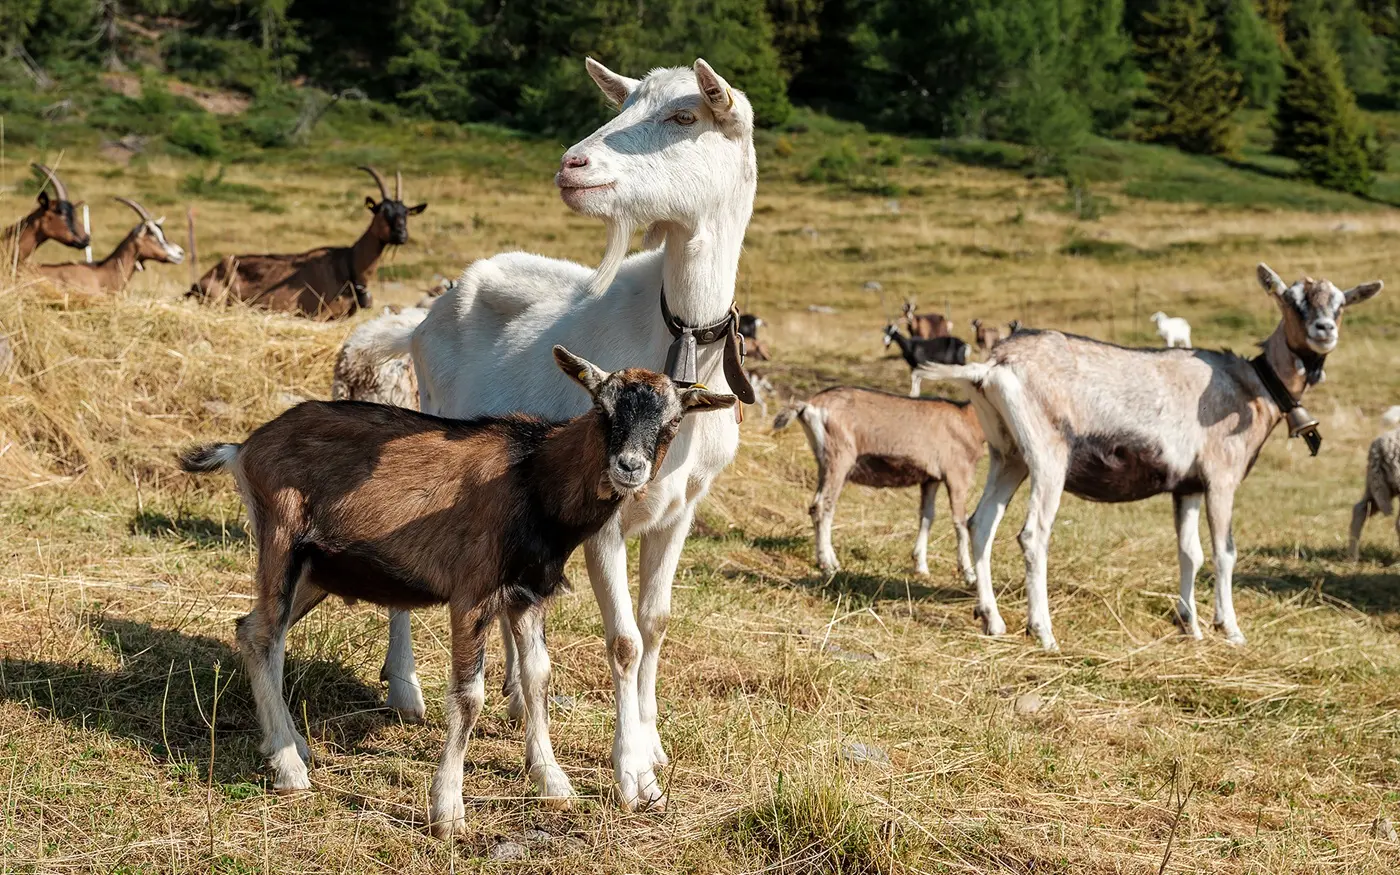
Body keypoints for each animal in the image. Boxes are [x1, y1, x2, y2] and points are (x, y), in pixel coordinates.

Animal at [178, 346, 736, 837]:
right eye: (602, 408)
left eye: (672, 422)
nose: (629, 467)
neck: (531, 477)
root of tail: (243, 449)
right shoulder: (472, 593)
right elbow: (469, 696)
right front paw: (447, 809)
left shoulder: (527, 595)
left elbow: (537, 676)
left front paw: (552, 782)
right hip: (281, 544)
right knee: (264, 636)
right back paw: (290, 768)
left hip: (315, 571)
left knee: (252, 630)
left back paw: (290, 745)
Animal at [187, 166, 426, 320]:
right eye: (383, 211)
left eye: (406, 212)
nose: (401, 235)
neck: (348, 264)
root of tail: (199, 281)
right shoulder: (317, 315)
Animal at [359, 58, 757, 812]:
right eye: (624, 103)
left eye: (685, 115)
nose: (573, 165)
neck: (678, 335)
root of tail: (426, 314)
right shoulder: (603, 516)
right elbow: (624, 639)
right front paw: (632, 774)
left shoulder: (680, 510)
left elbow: (656, 626)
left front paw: (653, 744)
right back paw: (407, 690)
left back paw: (517, 697)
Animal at [774, 387, 984, 579]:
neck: (968, 420)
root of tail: (809, 406)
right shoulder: (957, 475)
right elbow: (961, 522)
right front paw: (969, 574)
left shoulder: (931, 479)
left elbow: (927, 517)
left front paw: (922, 567)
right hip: (839, 458)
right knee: (821, 506)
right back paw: (828, 565)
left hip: (824, 464)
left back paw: (832, 561)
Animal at [917, 263, 1382, 650]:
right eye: (1290, 299)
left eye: (1340, 303)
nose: (1324, 330)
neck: (1253, 385)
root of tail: (992, 367)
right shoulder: (1221, 477)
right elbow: (1224, 551)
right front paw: (1229, 629)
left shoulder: (1187, 486)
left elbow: (1190, 552)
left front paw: (1190, 625)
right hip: (1048, 455)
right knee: (1032, 535)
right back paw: (1043, 631)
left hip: (1008, 454)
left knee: (981, 524)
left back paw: (992, 621)